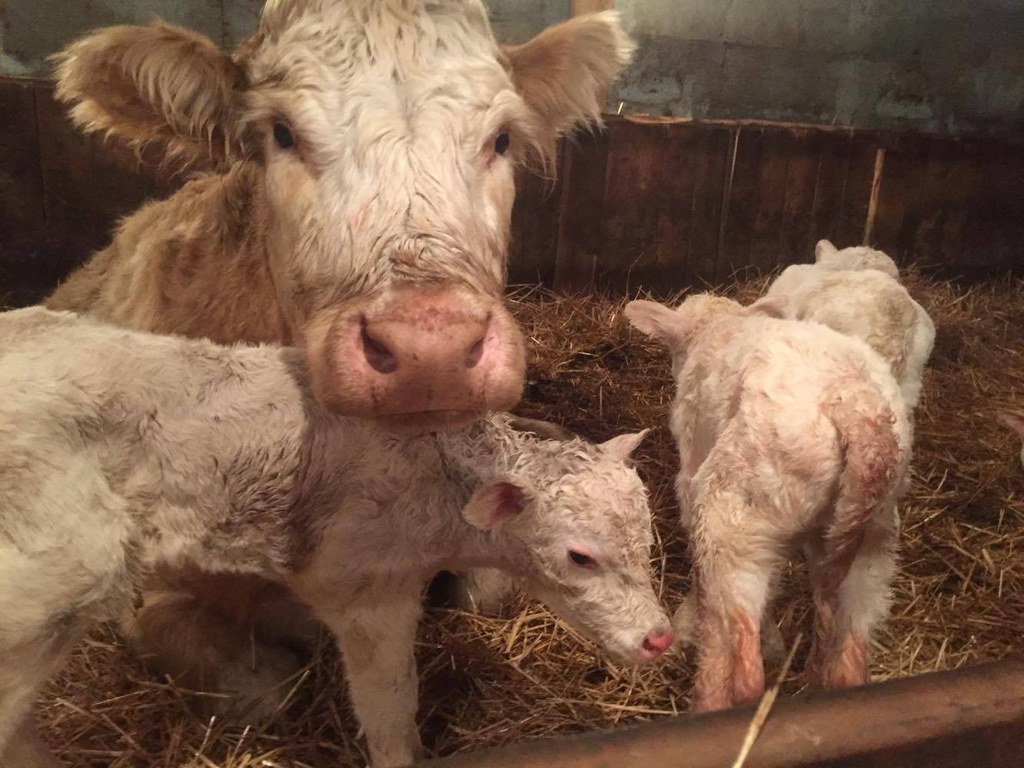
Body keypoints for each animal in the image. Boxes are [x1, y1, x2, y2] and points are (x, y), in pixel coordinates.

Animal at [46, 0, 630, 737]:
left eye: (500, 139)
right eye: (282, 132)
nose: (430, 349)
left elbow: (485, 588)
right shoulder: (151, 599)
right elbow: (268, 687)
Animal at [622, 292, 913, 716]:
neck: (719, 326)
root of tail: (854, 411)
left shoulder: (691, 467)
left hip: (735, 512)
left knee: (745, 669)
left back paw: (708, 702)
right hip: (874, 535)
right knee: (851, 654)